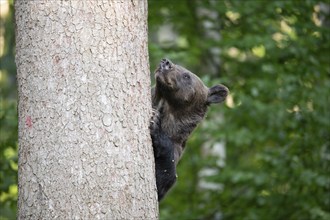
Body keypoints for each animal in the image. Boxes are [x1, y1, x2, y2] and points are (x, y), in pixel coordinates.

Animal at [150, 58, 229, 201]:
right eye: (178, 65)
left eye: (187, 75)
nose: (166, 62)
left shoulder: (175, 150)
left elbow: (164, 180)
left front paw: (155, 123)